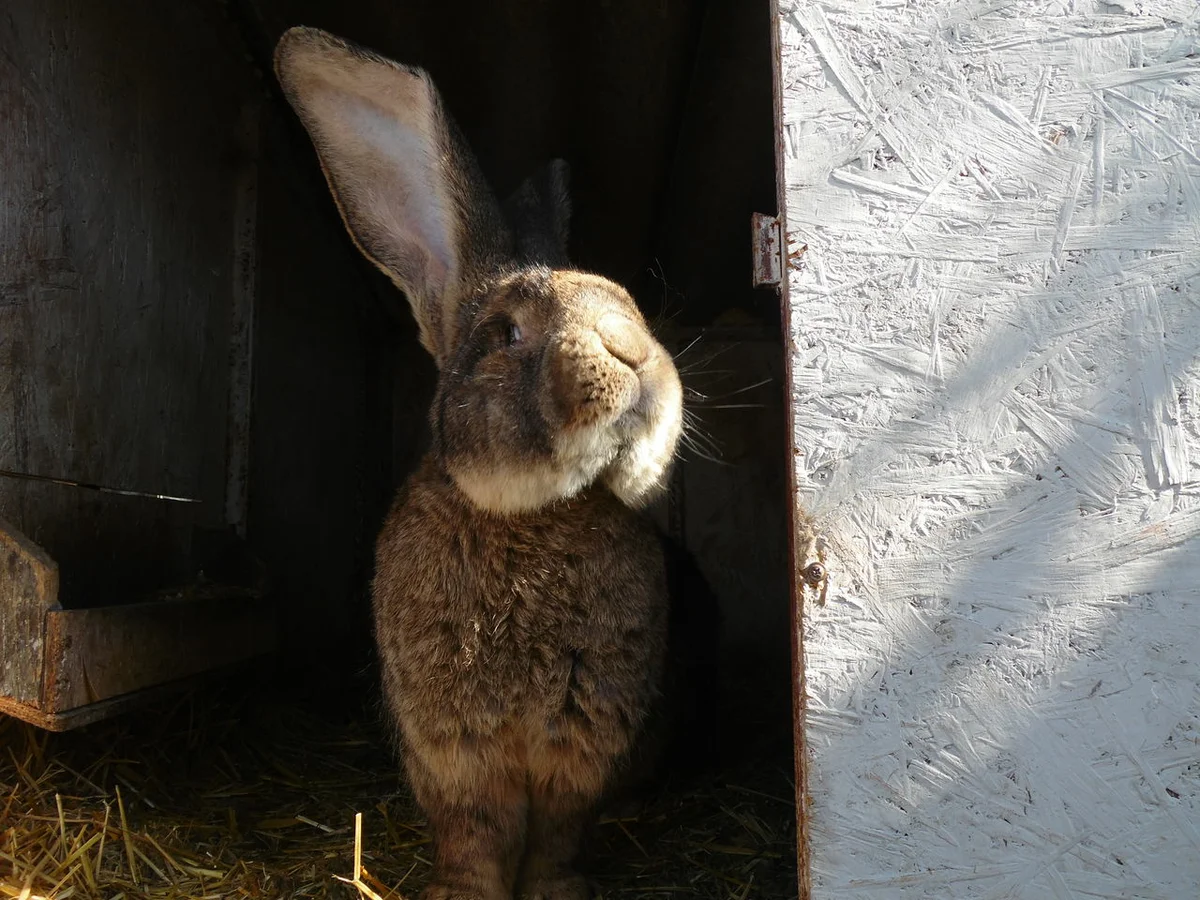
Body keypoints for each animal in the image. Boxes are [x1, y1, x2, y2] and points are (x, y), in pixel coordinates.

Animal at [274, 24, 686, 897]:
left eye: (629, 302)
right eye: (505, 334)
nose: (634, 356)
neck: (533, 516)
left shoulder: (580, 757)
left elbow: (559, 839)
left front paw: (561, 893)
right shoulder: (457, 759)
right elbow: (474, 838)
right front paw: (460, 892)